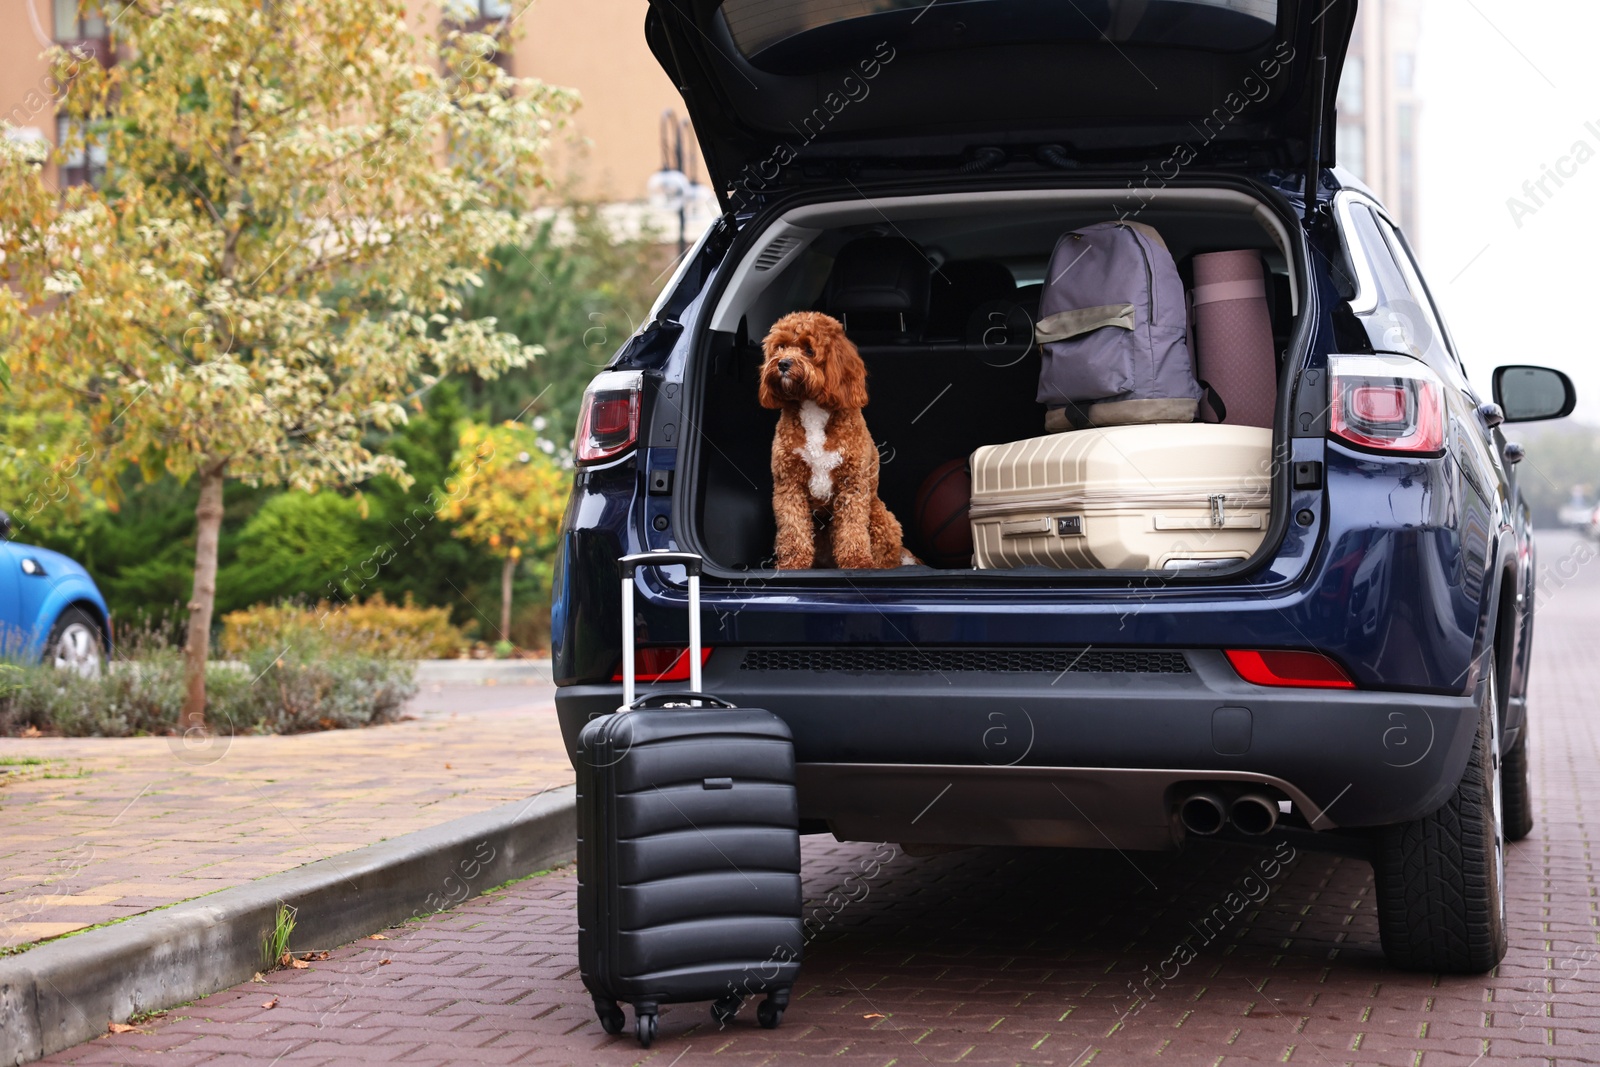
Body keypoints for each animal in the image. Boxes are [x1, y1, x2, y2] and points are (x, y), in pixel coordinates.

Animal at [755, 313, 908, 572]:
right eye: (781, 346)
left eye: (808, 349)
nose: (783, 363)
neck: (813, 407)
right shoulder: (789, 483)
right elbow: (793, 526)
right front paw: (794, 562)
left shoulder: (852, 483)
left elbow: (852, 527)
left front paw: (857, 561)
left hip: (881, 516)